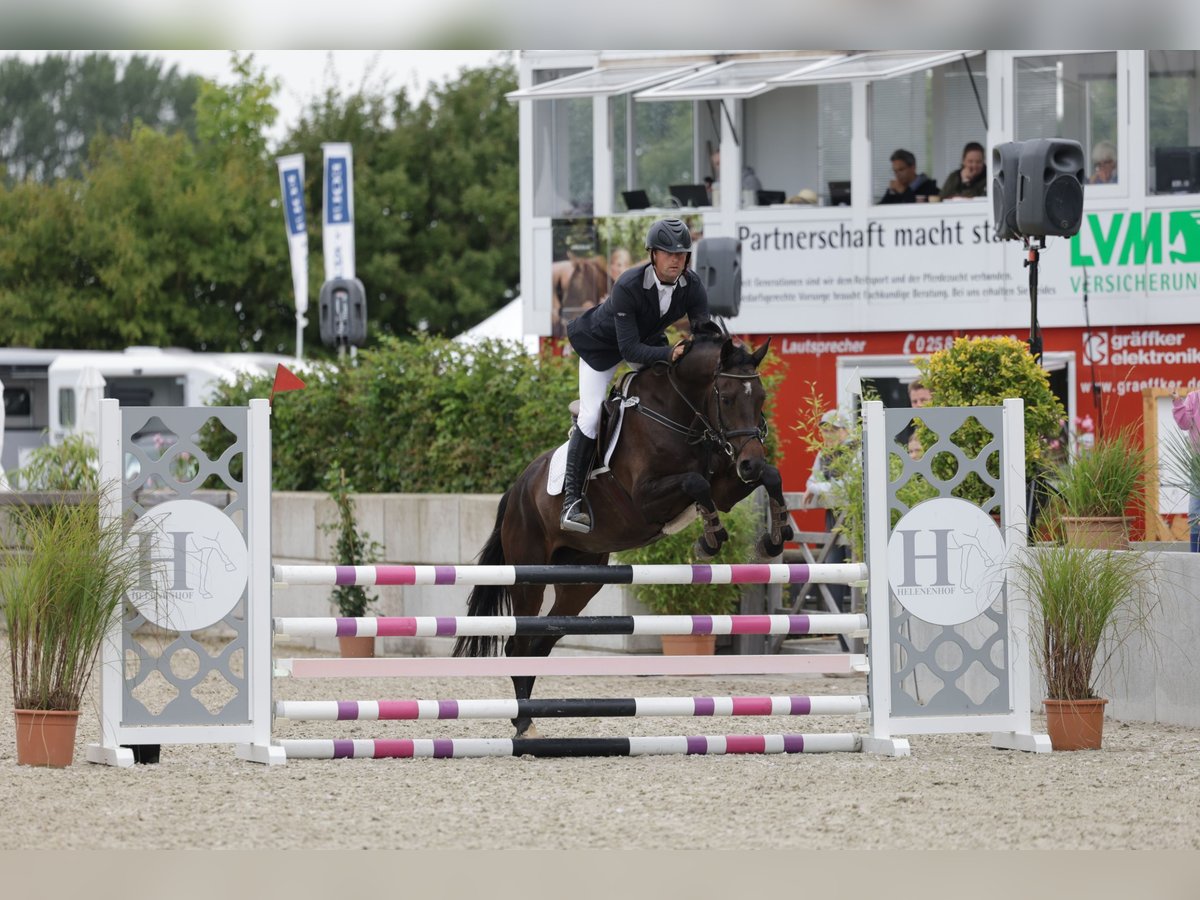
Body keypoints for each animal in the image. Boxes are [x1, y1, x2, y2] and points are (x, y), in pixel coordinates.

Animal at [453, 326, 792, 739]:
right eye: (725, 398)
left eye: (760, 398)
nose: (750, 461)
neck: (682, 416)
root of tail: (517, 489)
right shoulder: (646, 500)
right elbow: (696, 483)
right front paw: (709, 540)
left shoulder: (728, 486)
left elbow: (768, 478)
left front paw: (773, 539)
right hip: (529, 576)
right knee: (518, 645)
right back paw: (523, 725)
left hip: (580, 583)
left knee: (539, 643)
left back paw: (526, 719)